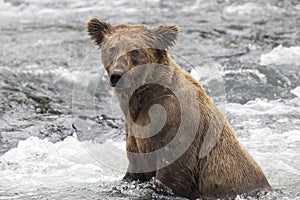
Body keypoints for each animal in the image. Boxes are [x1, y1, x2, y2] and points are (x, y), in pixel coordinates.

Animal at [85, 18, 270, 199]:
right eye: (112, 49)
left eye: (135, 51)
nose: (117, 75)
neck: (144, 99)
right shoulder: (135, 135)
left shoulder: (179, 127)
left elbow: (171, 175)